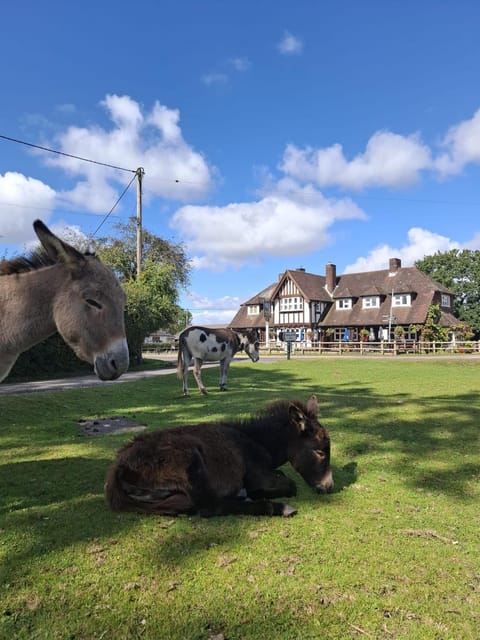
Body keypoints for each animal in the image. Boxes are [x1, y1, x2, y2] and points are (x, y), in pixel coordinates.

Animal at [104, 392, 334, 516]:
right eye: (320, 451)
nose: (329, 487)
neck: (255, 441)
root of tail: (116, 473)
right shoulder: (257, 474)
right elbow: (290, 485)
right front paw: (257, 492)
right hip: (189, 459)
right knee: (211, 507)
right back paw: (277, 507)